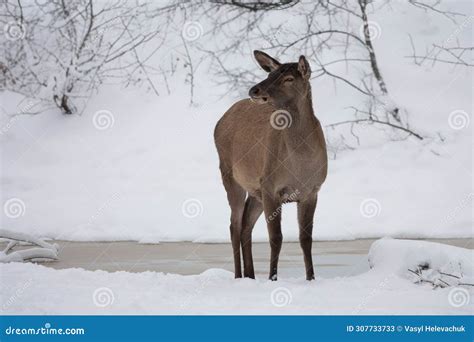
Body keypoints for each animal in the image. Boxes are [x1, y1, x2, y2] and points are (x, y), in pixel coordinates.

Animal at [214, 50, 328, 280]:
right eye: (270, 74)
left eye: (289, 78)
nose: (254, 90)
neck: (300, 163)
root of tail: (219, 122)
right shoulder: (271, 187)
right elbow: (276, 237)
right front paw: (272, 278)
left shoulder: (312, 191)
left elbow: (306, 239)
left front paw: (311, 278)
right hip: (230, 174)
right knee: (234, 225)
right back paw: (239, 276)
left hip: (256, 189)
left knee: (246, 225)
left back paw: (250, 276)